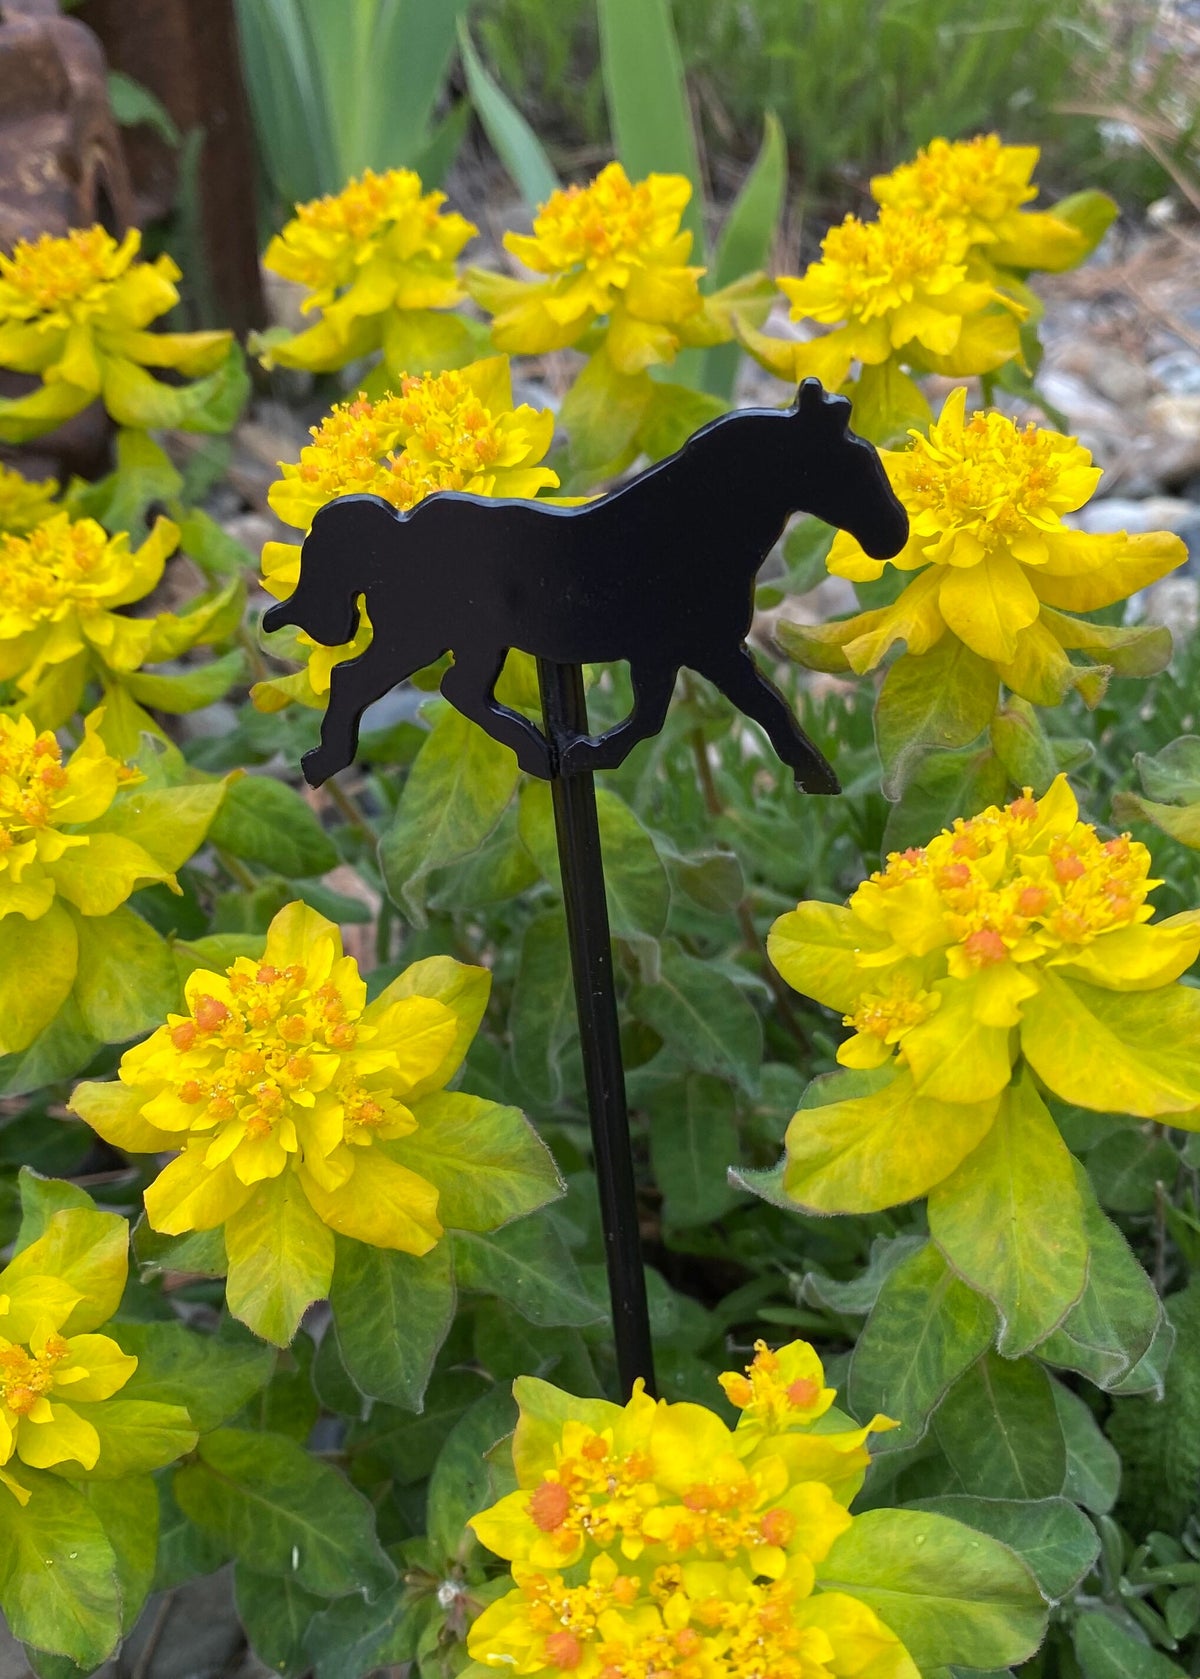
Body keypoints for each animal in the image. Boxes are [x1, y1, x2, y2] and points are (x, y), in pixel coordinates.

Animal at [264, 378, 908, 792]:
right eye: (852, 463)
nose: (894, 533)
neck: (689, 526)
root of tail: (395, 527)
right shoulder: (704, 649)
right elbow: (754, 707)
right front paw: (813, 774)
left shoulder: (675, 653)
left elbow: (665, 714)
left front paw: (587, 752)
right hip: (422, 638)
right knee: (359, 681)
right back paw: (329, 763)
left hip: (468, 642)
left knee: (455, 690)